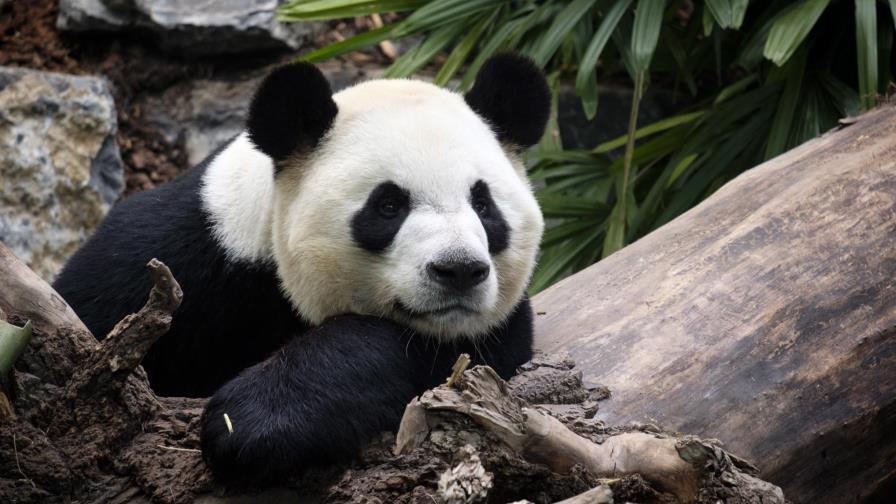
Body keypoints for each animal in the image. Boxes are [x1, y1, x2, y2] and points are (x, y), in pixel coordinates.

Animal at [53, 53, 549, 484]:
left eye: (484, 205)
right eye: (388, 206)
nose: (459, 270)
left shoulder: (487, 332)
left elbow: (447, 353)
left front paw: (253, 423)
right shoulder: (173, 254)